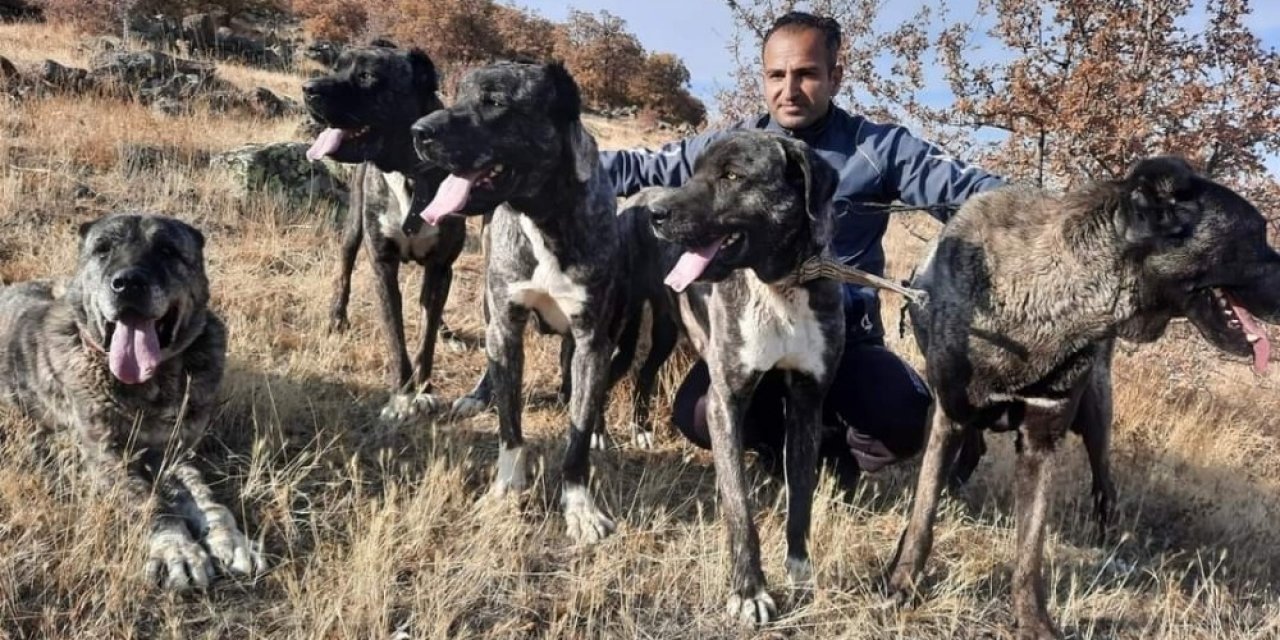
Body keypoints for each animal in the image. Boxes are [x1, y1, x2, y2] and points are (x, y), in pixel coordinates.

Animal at [0, 213, 263, 588]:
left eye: (167, 249)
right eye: (102, 249)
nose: (128, 283)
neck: (152, 384)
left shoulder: (172, 452)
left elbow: (205, 496)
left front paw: (228, 537)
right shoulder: (107, 457)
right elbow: (148, 501)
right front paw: (176, 548)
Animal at [302, 40, 468, 419]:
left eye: (367, 76)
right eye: (337, 66)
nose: (309, 88)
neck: (409, 173)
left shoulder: (441, 266)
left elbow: (426, 337)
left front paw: (423, 389)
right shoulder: (382, 263)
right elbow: (396, 335)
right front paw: (402, 397)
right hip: (352, 230)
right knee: (344, 270)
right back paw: (337, 319)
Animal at [407, 58, 632, 540]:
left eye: (495, 102)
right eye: (459, 94)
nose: (419, 130)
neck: (545, 216)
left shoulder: (592, 339)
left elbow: (578, 433)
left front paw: (580, 506)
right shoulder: (507, 324)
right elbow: (510, 425)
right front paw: (506, 490)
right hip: (489, 311)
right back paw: (478, 395)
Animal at [619, 129, 849, 624]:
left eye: (731, 176)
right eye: (693, 172)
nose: (657, 216)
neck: (780, 285)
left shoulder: (808, 400)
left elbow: (801, 497)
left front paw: (800, 571)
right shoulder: (725, 401)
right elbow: (739, 507)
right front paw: (750, 591)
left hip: (666, 330)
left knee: (646, 374)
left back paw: (642, 428)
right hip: (622, 321)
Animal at [885, 156, 1280, 640]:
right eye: (1258, 234)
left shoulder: (1041, 442)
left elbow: (1030, 551)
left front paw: (1033, 622)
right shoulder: (949, 417)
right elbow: (923, 514)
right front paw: (901, 583)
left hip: (1096, 416)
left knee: (1104, 487)